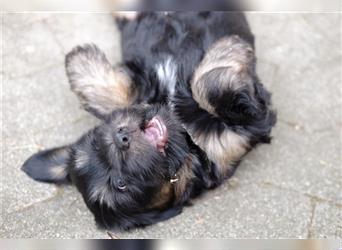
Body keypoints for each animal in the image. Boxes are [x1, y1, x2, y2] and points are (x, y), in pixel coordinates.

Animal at [22, 11, 276, 230]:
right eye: (121, 184)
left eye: (96, 143)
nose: (120, 137)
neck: (182, 131)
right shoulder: (242, 134)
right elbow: (211, 86)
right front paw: (230, 48)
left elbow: (118, 97)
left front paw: (80, 59)